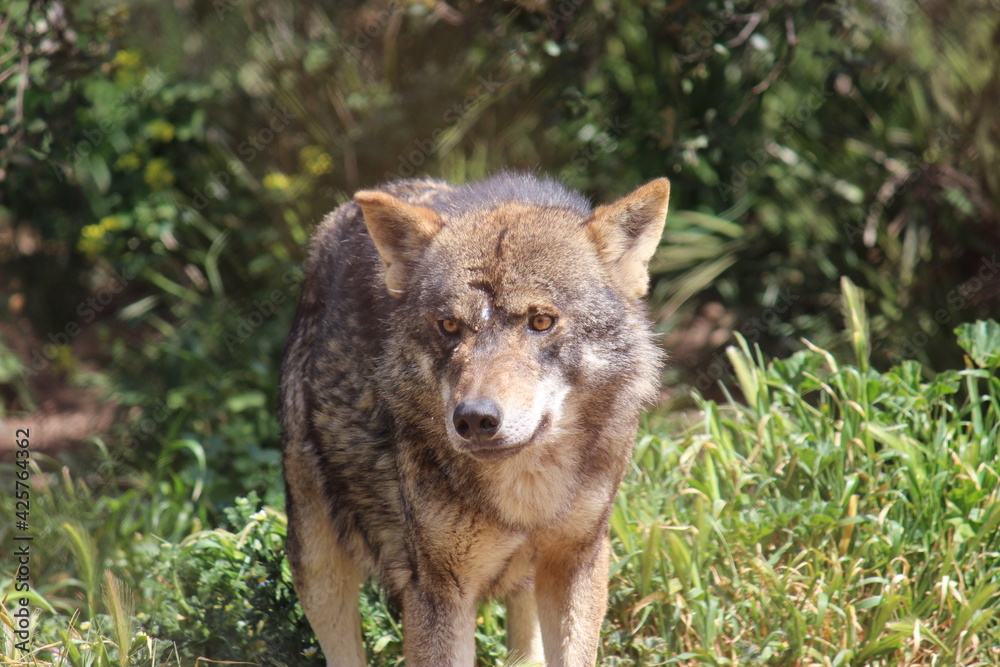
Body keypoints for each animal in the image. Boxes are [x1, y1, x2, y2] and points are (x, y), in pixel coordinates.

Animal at [279, 172, 670, 667]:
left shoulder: (577, 562)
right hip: (318, 565)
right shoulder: (440, 590)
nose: (475, 419)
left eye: (541, 321)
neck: (526, 496)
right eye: (449, 326)